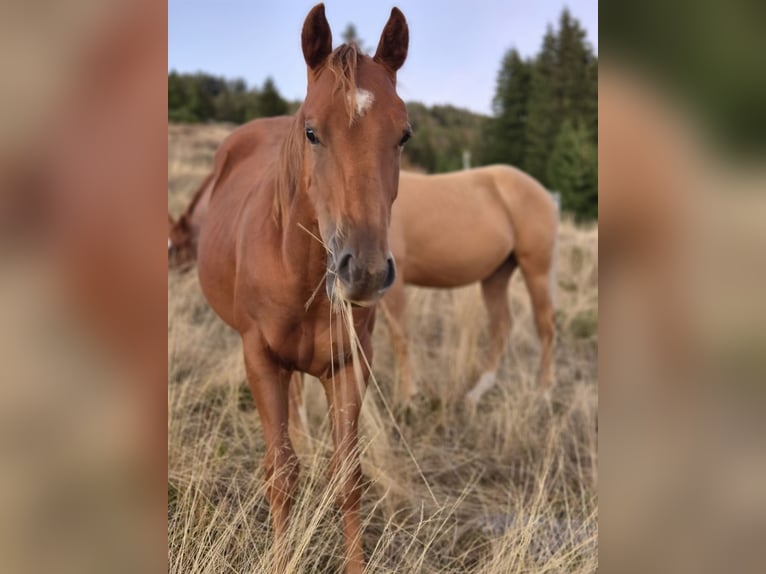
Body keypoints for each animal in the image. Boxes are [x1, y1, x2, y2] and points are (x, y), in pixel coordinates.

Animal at [194, 5, 409, 573]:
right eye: (312, 132)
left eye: (403, 135)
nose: (365, 271)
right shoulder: (259, 359)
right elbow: (281, 474)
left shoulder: (350, 364)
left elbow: (349, 478)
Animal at [384, 166, 558, 403]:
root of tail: (544, 194)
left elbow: (399, 336)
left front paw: (408, 397)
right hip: (496, 277)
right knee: (501, 326)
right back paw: (479, 390)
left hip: (536, 271)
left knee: (545, 327)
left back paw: (544, 390)